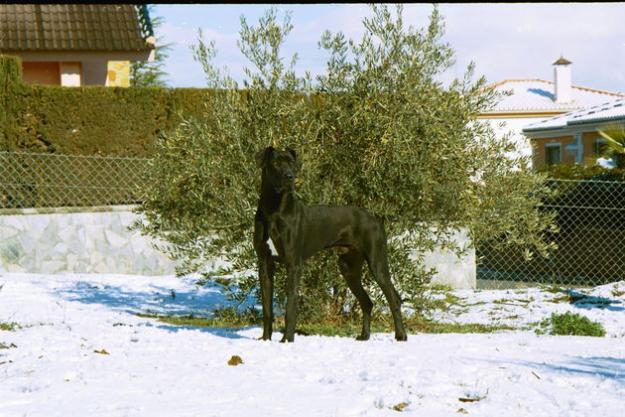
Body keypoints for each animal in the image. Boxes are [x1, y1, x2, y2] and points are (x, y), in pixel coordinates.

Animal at [251, 146, 408, 342]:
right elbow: (266, 308)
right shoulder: (264, 263)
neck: (274, 209)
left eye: (291, 163)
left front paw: (287, 340)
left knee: (393, 298)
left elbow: (290, 307)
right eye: (276, 163)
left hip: (377, 262)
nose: (290, 177)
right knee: (367, 302)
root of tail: (376, 218)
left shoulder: (294, 264)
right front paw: (265, 340)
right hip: (348, 267)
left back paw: (400, 335)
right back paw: (364, 336)